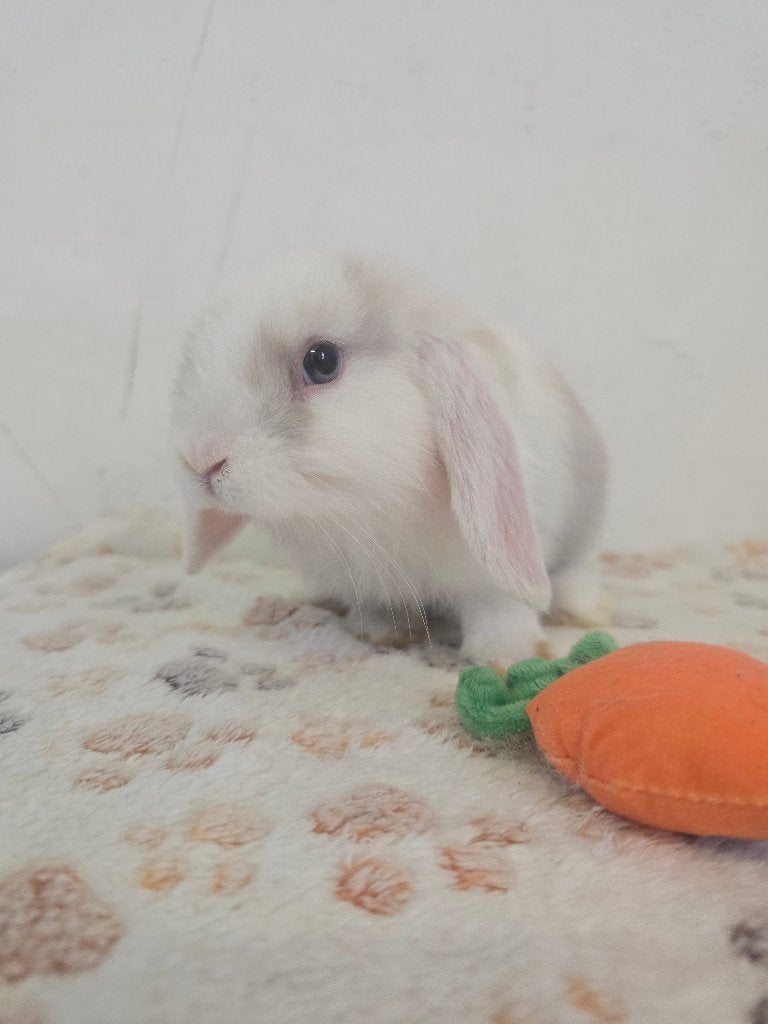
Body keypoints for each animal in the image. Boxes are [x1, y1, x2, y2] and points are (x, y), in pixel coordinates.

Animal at [172, 253, 608, 667]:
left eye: (322, 361)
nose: (201, 459)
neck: (367, 509)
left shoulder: (491, 577)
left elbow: (500, 608)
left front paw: (509, 655)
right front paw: (381, 632)